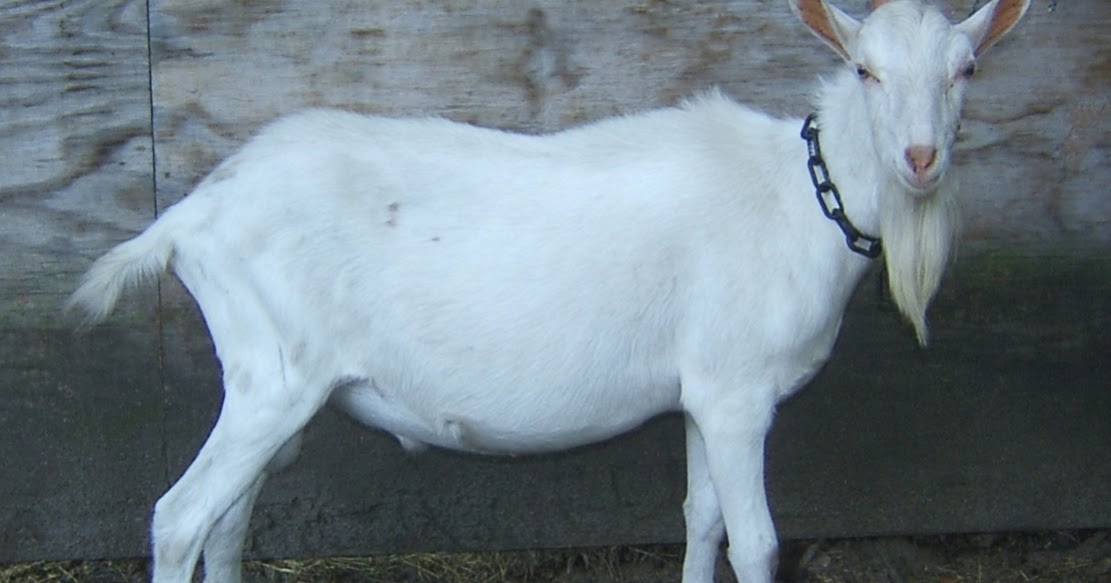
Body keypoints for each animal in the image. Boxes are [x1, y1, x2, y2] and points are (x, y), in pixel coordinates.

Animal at [68, 0, 1029, 581]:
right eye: (864, 69)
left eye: (967, 70)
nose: (919, 158)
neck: (798, 197)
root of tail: (193, 212)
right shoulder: (738, 394)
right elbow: (756, 542)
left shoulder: (702, 393)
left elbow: (701, 518)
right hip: (272, 373)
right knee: (181, 515)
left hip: (272, 385)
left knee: (226, 523)